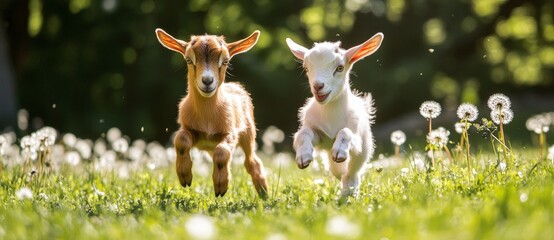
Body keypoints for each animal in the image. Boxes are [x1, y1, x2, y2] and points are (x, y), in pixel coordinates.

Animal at [155, 28, 268, 198]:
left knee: (251, 161)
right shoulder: (189, 128)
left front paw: (221, 186)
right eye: (188, 59)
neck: (207, 118)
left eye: (226, 61)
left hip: (248, 133)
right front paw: (184, 176)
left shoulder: (230, 133)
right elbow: (181, 140)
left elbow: (222, 153)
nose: (207, 81)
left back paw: (264, 192)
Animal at [286, 32, 382, 196]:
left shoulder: (355, 136)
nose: (318, 86)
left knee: (351, 175)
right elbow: (304, 133)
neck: (331, 116)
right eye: (306, 68)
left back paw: (348, 194)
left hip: (363, 152)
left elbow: (345, 132)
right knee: (338, 172)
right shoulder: (320, 136)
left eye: (340, 68)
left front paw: (339, 152)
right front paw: (304, 157)